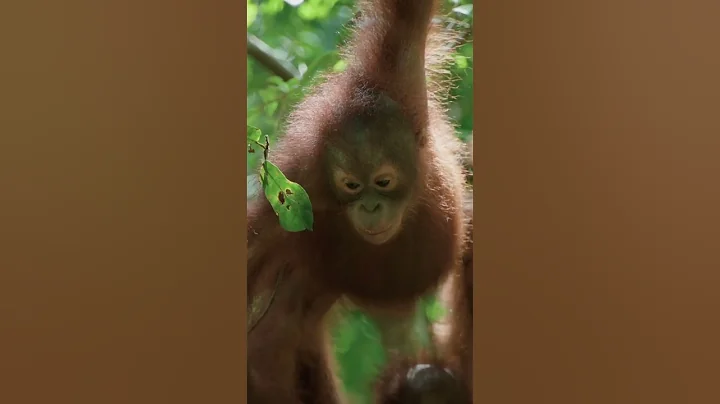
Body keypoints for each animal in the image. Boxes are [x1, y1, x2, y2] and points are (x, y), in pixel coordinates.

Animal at [246, 0, 473, 402]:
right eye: (351, 186)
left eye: (383, 182)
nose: (370, 207)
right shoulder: (294, 192)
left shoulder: (403, 73)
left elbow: (408, 14)